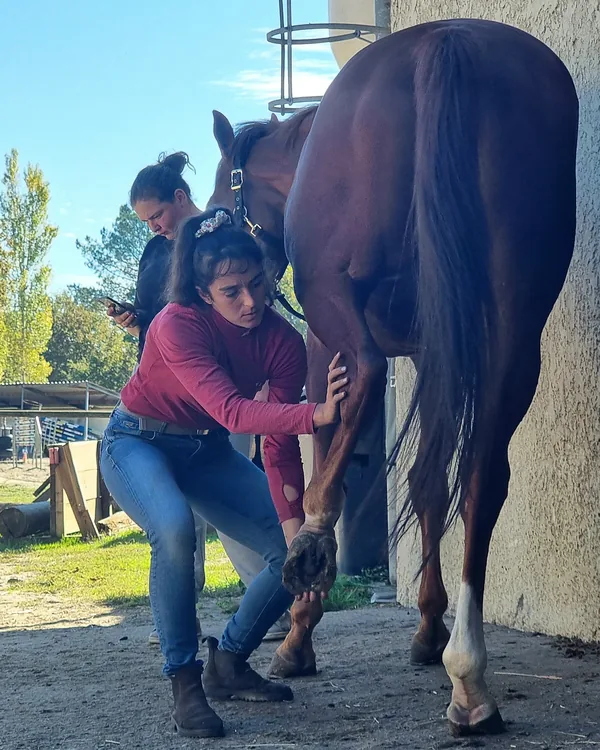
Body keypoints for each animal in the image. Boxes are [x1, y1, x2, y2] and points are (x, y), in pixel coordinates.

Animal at [208, 19, 578, 735]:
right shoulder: (438, 348)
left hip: (336, 303)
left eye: (216, 198)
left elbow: (332, 428)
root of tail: (447, 40)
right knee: (481, 475)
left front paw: (299, 635)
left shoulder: (326, 346)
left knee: (371, 380)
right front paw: (429, 628)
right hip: (514, 334)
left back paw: (315, 541)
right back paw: (468, 675)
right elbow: (429, 482)